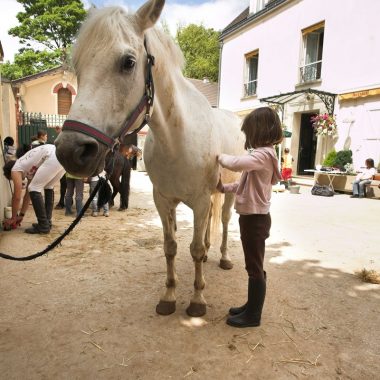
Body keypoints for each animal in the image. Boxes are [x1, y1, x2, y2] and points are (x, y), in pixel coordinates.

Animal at [55, 0, 245, 316]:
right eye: (79, 67)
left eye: (128, 62)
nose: (71, 151)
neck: (178, 140)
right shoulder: (163, 200)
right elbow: (170, 247)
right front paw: (169, 296)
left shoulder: (200, 201)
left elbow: (194, 249)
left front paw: (197, 300)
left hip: (229, 192)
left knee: (226, 222)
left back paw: (224, 258)